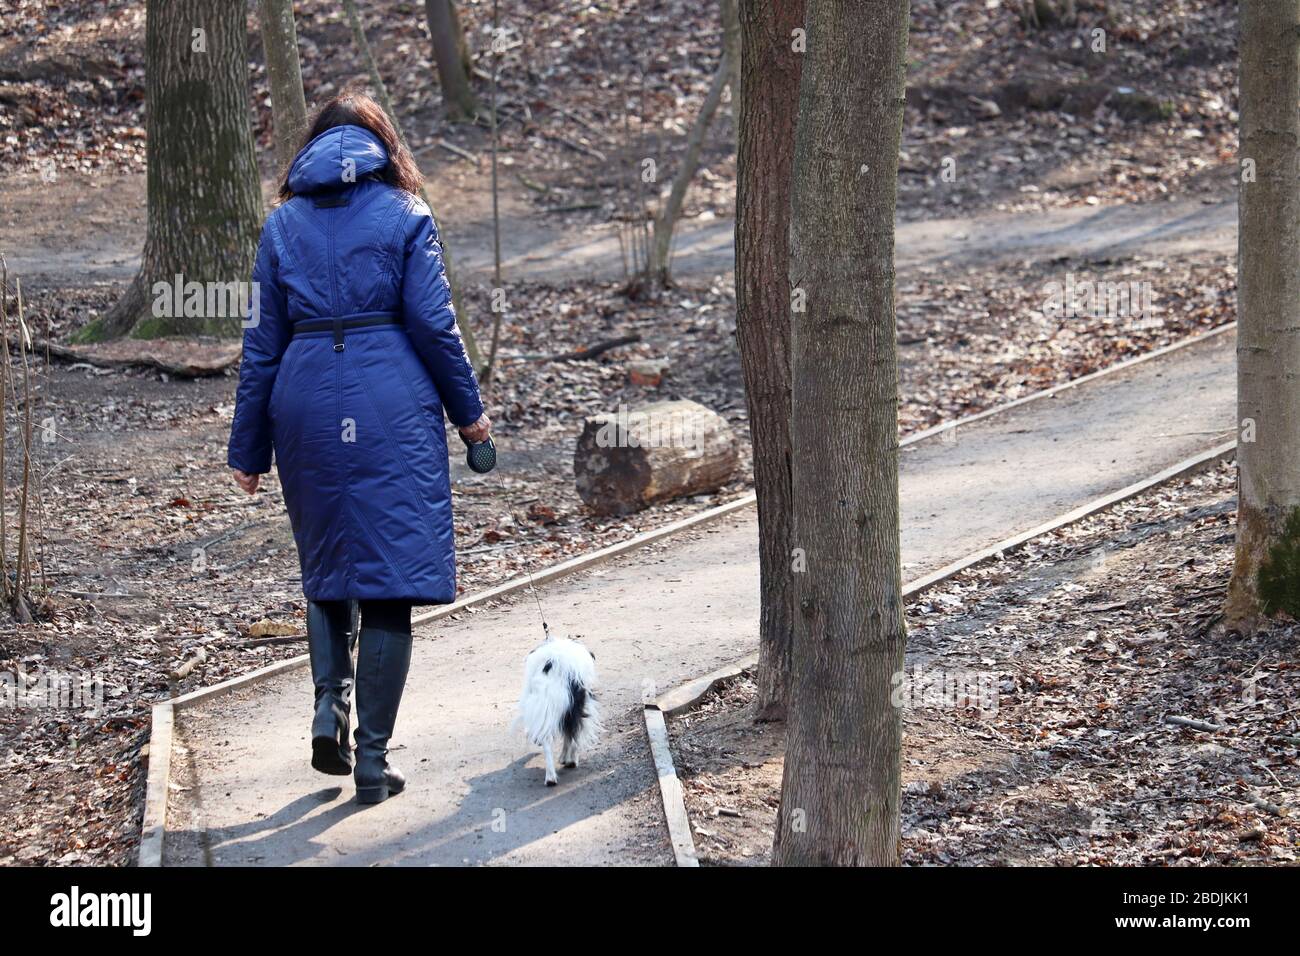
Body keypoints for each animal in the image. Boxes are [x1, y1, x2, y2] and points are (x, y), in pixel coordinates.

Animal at [517, 634, 598, 785]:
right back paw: (571, 761)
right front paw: (566, 758)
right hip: (574, 708)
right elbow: (570, 736)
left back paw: (550, 778)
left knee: (549, 741)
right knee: (574, 733)